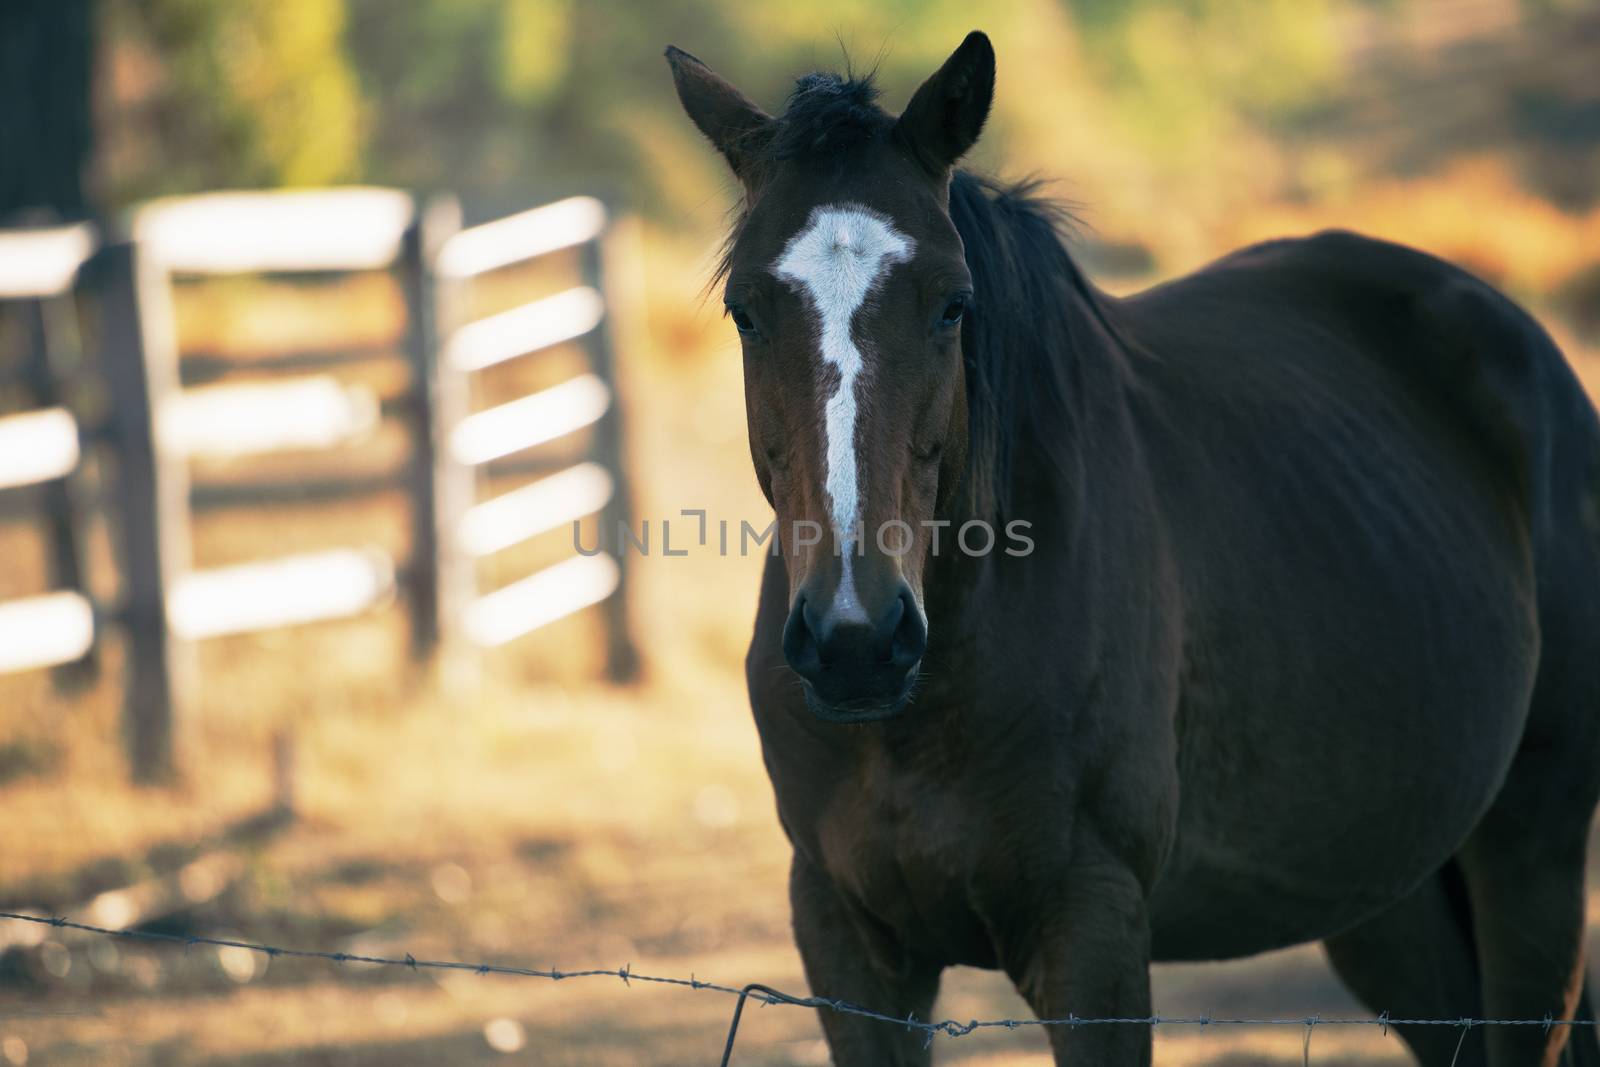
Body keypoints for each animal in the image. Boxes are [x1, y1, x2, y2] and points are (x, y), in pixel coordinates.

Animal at [662, 33, 1600, 1067]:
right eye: (747, 310)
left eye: (953, 305)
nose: (856, 641)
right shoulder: (848, 947)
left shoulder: (1093, 935)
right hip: (1391, 895)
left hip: (1532, 850)